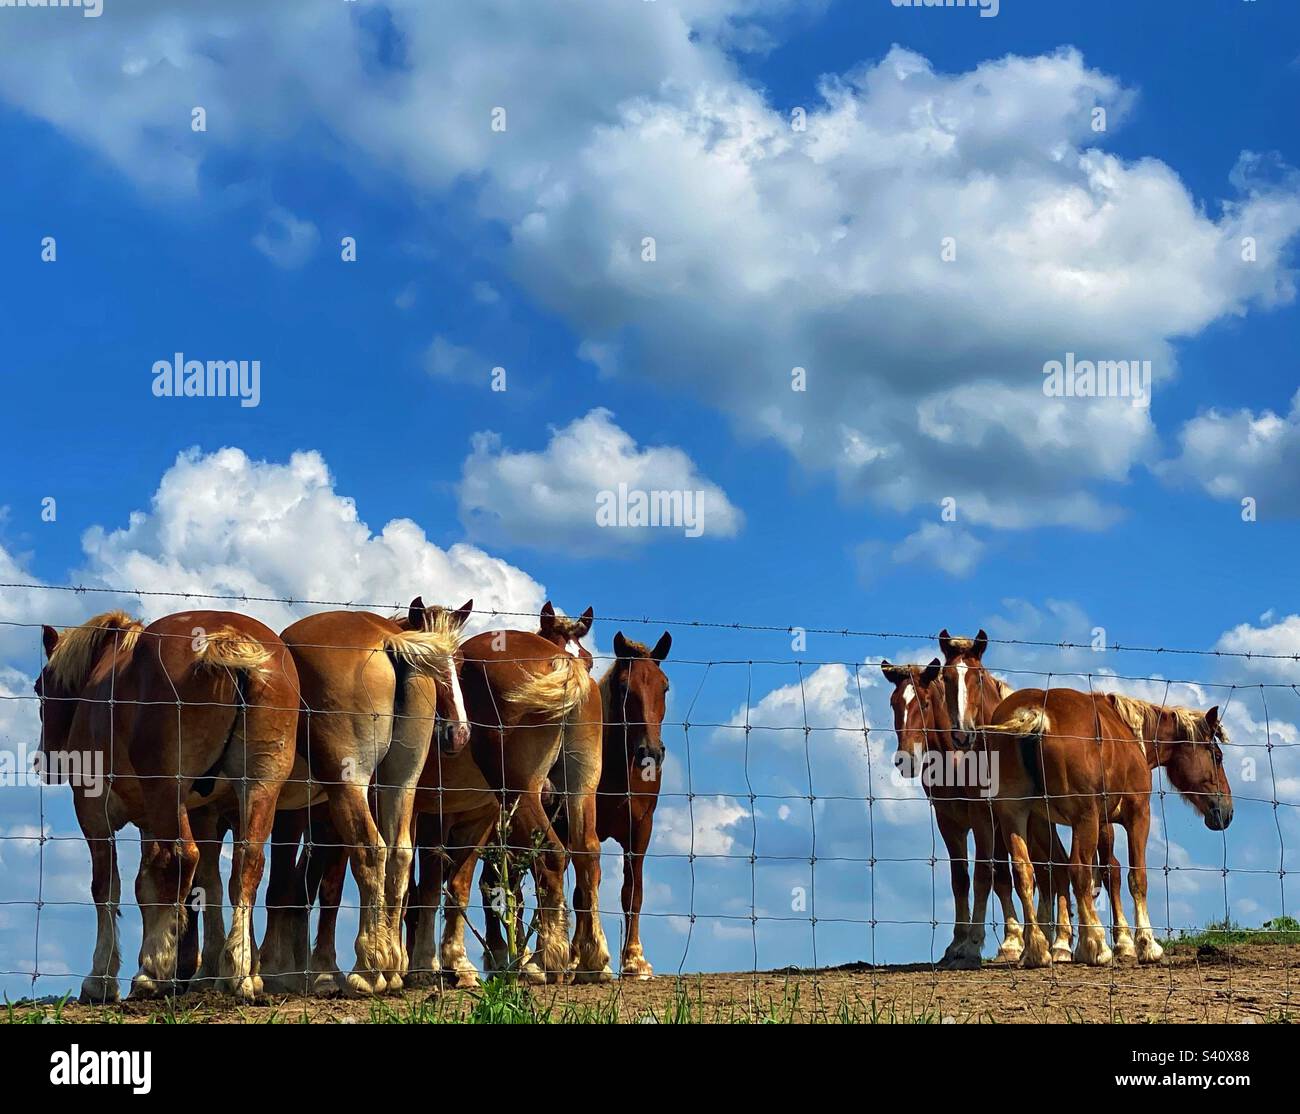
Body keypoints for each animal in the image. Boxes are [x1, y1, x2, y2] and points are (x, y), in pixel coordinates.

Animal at [36, 608, 301, 998]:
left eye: (39, 687)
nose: (46, 760)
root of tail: (230, 636)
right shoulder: (153, 819)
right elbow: (149, 885)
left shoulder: (92, 810)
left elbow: (106, 886)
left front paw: (102, 977)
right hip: (259, 787)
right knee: (246, 862)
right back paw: (239, 970)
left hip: (168, 792)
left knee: (182, 857)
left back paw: (157, 969)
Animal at [941, 629, 1071, 961]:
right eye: (946, 677)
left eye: (977, 677)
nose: (962, 735)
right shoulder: (982, 813)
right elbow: (988, 873)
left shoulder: (999, 817)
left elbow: (996, 873)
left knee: (1057, 866)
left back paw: (1062, 942)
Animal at [982, 686, 1227, 967]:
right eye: (1217, 757)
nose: (1226, 811)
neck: (1128, 732)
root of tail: (1035, 715)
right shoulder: (1137, 814)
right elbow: (1135, 877)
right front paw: (1145, 944)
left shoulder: (1092, 821)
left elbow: (1108, 872)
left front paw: (1120, 942)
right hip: (1083, 818)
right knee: (1077, 869)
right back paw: (1096, 945)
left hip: (1017, 815)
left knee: (1025, 871)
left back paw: (1037, 949)